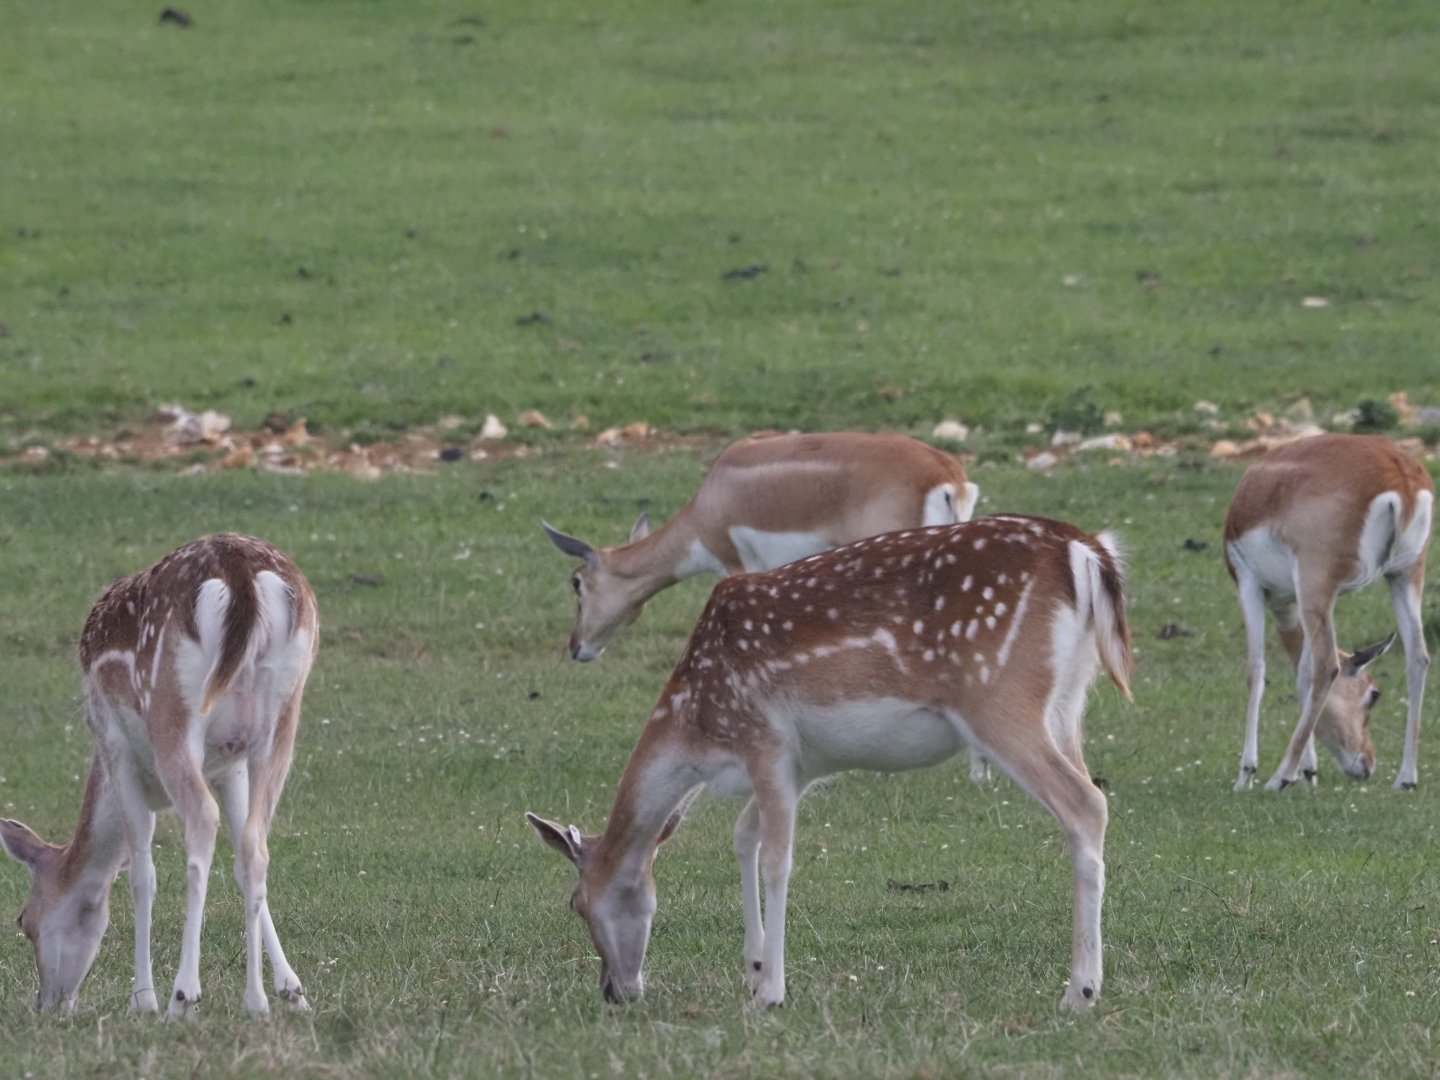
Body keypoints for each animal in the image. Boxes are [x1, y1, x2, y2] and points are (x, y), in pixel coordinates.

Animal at [0, 534, 318, 1018]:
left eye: (24, 920)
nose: (48, 1004)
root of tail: (240, 572)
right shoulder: (230, 764)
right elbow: (243, 858)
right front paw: (292, 990)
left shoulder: (116, 748)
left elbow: (141, 874)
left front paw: (143, 1000)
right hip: (282, 717)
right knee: (255, 841)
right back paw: (255, 1002)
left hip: (173, 708)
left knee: (202, 819)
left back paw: (182, 997)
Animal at [528, 513, 1132, 1013]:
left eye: (576, 903)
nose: (613, 990)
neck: (699, 733)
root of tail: (1083, 551)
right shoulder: (802, 766)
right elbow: (743, 838)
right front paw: (753, 969)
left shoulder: (765, 739)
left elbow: (777, 858)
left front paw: (770, 992)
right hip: (1067, 704)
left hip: (999, 698)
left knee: (1086, 804)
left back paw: (1080, 991)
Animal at [1224, 434, 1434, 792]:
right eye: (1374, 693)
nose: (1368, 764)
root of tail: (1398, 472)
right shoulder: (1313, 601)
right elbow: (1301, 675)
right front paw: (1308, 771)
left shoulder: (1250, 584)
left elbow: (1258, 671)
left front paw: (1248, 774)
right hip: (1404, 575)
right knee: (1418, 658)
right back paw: (1406, 778)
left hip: (1315, 584)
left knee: (1326, 666)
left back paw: (1278, 777)